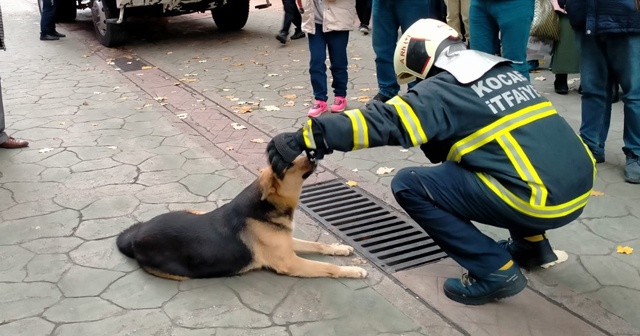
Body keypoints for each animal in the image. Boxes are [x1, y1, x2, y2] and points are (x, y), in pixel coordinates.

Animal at [117, 156, 368, 280]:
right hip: (180, 274)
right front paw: (352, 271)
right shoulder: (290, 262)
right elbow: (327, 267)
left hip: (188, 210)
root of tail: (135, 237)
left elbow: (318, 245)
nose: (313, 153)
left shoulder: (288, 242)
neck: (264, 206)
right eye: (288, 165)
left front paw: (339, 248)